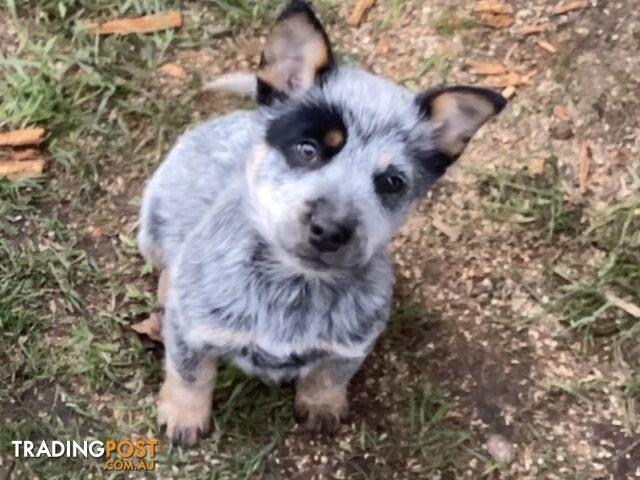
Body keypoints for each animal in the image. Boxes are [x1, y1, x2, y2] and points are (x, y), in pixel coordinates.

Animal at [138, 0, 508, 444]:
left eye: (391, 182)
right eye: (308, 149)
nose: (330, 229)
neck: (293, 289)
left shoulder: (353, 343)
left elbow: (329, 376)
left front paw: (321, 406)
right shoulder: (192, 330)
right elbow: (190, 375)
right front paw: (184, 416)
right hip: (151, 227)